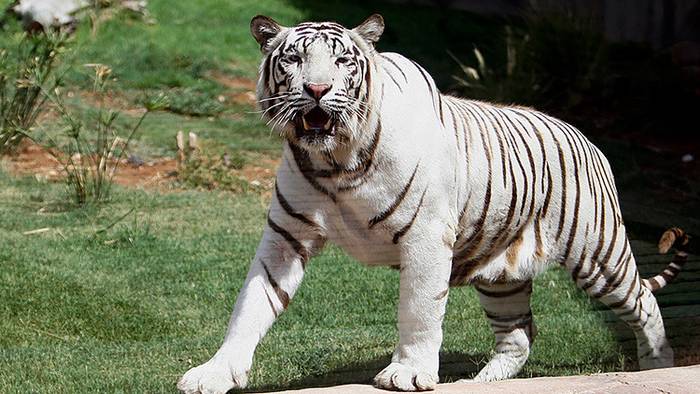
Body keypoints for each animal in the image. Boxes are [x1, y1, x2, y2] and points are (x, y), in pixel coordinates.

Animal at [178, 13, 692, 392]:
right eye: (292, 59)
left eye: (343, 61)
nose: (317, 90)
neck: (336, 163)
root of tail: (588, 138)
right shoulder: (286, 236)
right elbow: (251, 306)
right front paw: (214, 374)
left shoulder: (425, 238)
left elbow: (419, 310)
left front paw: (407, 373)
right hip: (502, 274)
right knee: (519, 335)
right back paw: (480, 382)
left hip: (598, 256)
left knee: (644, 301)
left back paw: (658, 367)